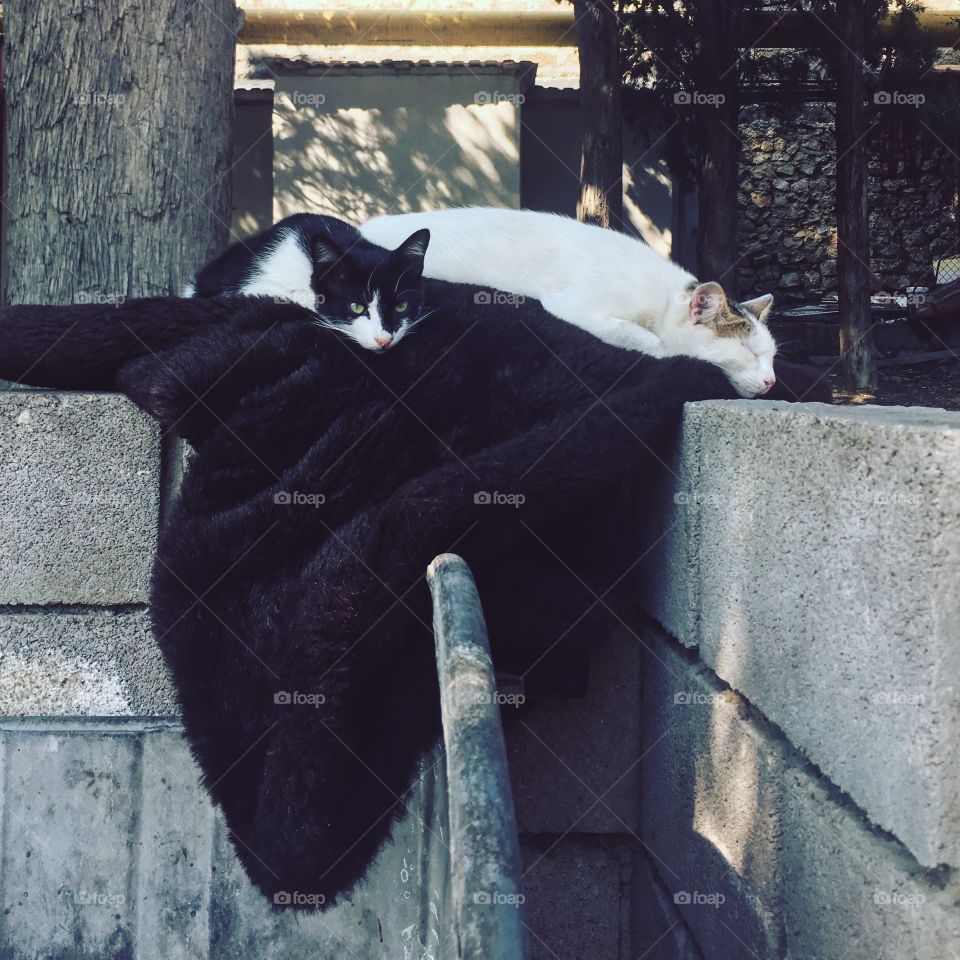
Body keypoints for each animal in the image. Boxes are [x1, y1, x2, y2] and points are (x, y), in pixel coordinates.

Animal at [362, 207, 780, 398]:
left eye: (773, 358)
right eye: (747, 351)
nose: (773, 380)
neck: (661, 302)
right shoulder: (576, 306)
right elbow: (655, 344)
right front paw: (664, 349)